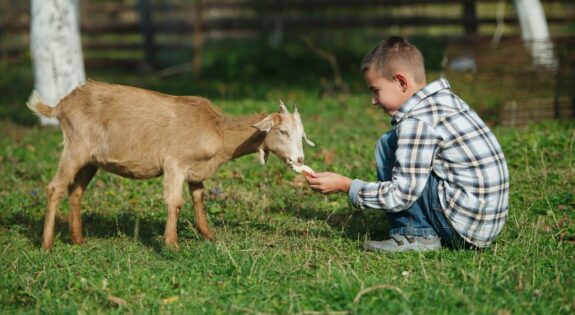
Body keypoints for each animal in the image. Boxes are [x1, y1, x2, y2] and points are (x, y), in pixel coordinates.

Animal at [27, 81, 316, 252]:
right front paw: (172, 245)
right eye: (282, 131)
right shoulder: (175, 164)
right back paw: (46, 244)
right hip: (76, 149)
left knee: (76, 191)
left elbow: (199, 198)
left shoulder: (196, 170)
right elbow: (175, 202)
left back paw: (78, 239)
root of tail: (61, 105)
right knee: (55, 188)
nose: (300, 161)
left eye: (301, 134)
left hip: (91, 159)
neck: (217, 130)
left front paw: (209, 236)